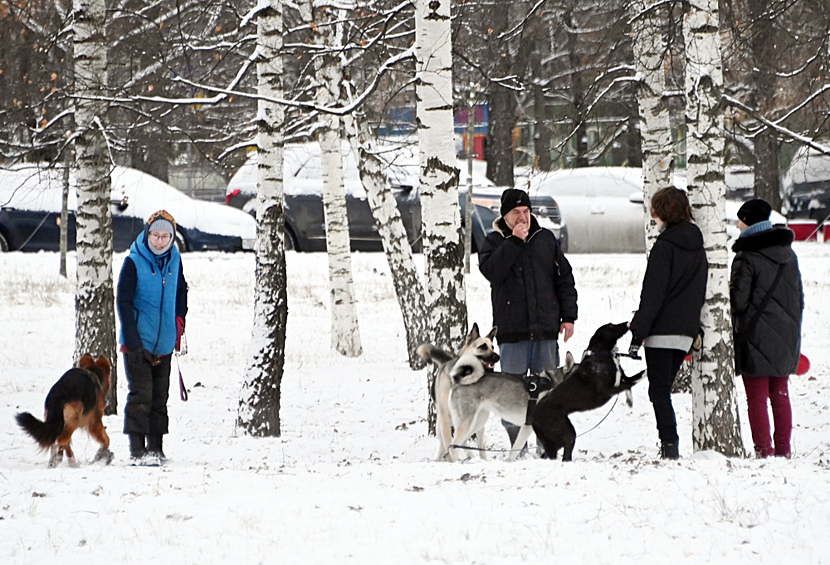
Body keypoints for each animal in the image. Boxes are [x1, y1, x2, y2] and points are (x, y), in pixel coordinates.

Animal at [536, 322, 648, 462]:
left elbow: (633, 380)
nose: (627, 323)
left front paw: (630, 399)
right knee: (565, 456)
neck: (601, 353)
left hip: (553, 441)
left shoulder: (622, 379)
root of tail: (533, 418)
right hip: (567, 433)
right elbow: (632, 381)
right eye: (611, 326)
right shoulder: (609, 389)